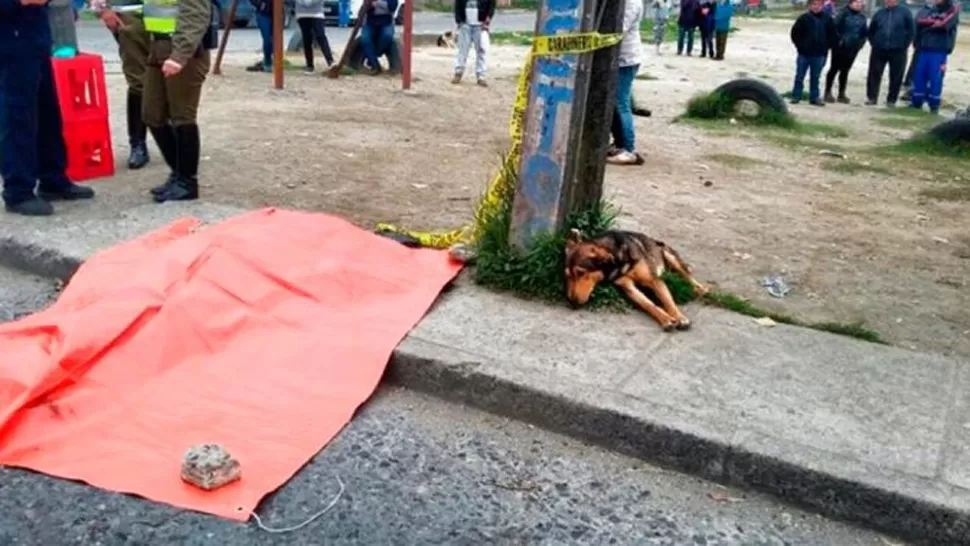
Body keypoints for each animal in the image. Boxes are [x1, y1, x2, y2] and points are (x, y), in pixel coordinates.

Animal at [564, 227, 708, 330]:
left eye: (581, 273)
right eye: (567, 276)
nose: (571, 301)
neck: (619, 259)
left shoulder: (654, 280)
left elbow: (667, 301)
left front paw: (680, 317)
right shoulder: (627, 286)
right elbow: (647, 304)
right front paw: (665, 319)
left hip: (669, 255)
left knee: (687, 276)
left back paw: (700, 289)